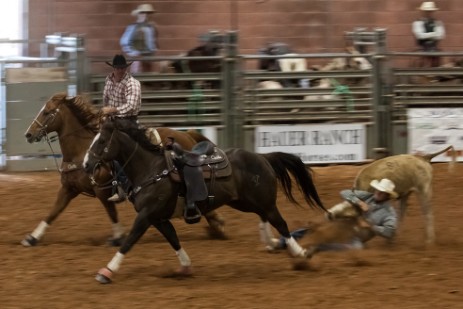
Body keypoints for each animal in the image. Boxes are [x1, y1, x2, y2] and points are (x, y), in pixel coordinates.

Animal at [22, 91, 227, 245]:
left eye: (47, 112)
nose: (28, 134)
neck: (80, 151)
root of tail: (188, 134)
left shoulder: (102, 191)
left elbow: (111, 213)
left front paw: (118, 237)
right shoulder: (69, 188)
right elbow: (53, 212)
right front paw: (32, 237)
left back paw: (217, 225)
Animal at [82, 119, 326, 282]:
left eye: (101, 141)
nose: (85, 164)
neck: (152, 169)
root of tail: (262, 157)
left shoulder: (146, 216)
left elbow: (129, 241)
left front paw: (107, 271)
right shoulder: (159, 218)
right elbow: (173, 239)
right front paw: (185, 267)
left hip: (264, 201)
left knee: (281, 223)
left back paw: (300, 254)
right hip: (245, 202)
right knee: (265, 218)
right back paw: (272, 243)